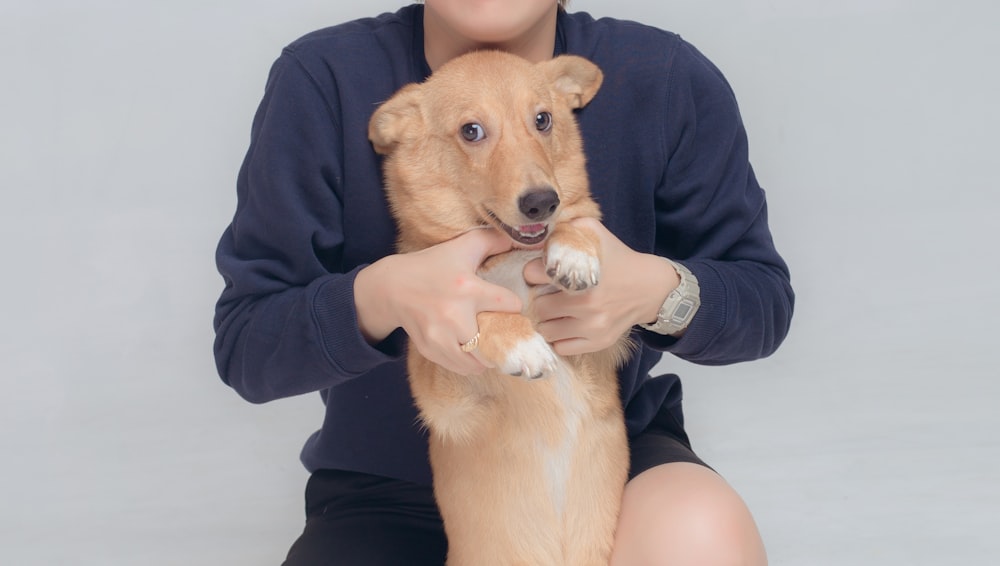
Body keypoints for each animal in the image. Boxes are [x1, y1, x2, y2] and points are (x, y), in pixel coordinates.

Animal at [368, 50, 632, 566]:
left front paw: (573, 251)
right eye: (471, 131)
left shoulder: (597, 352)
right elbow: (478, 310)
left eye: (543, 119)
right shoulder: (444, 391)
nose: (541, 202)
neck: (509, 256)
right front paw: (520, 343)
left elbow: (579, 219)